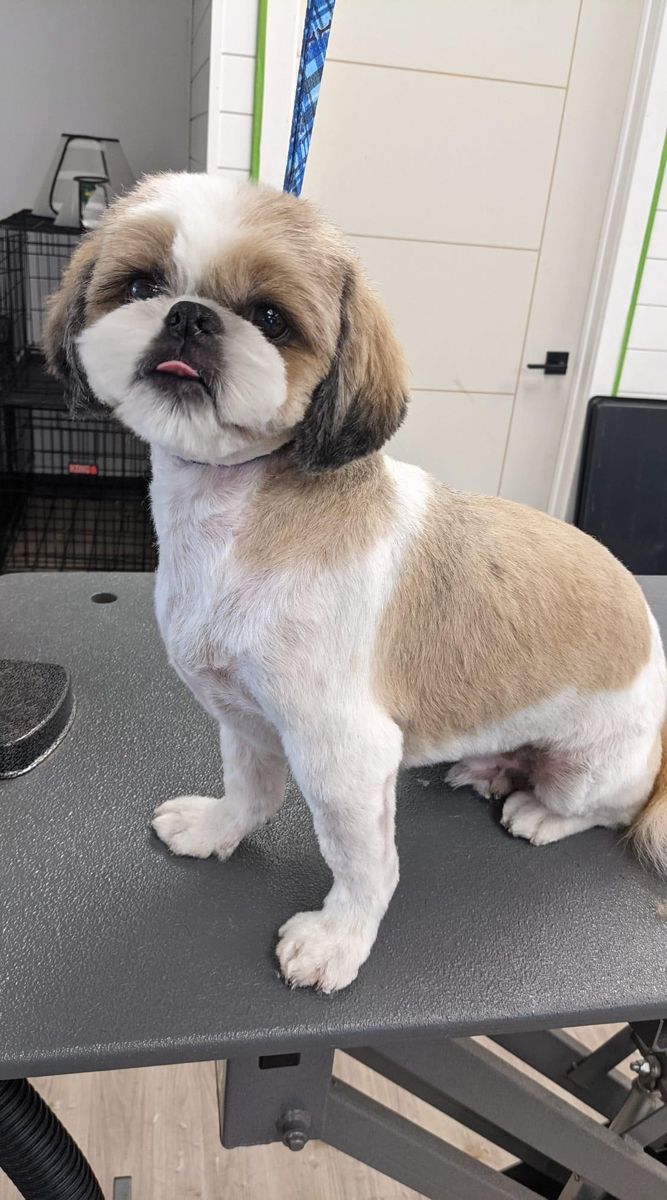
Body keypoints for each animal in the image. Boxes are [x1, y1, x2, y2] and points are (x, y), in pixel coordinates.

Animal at [44, 171, 667, 993]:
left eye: (270, 318)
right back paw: (490, 767)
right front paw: (216, 829)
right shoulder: (244, 713)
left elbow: (363, 863)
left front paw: (337, 938)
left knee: (607, 810)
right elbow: (250, 790)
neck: (233, 520)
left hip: (592, 769)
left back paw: (540, 811)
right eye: (141, 285)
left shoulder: (342, 749)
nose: (188, 316)